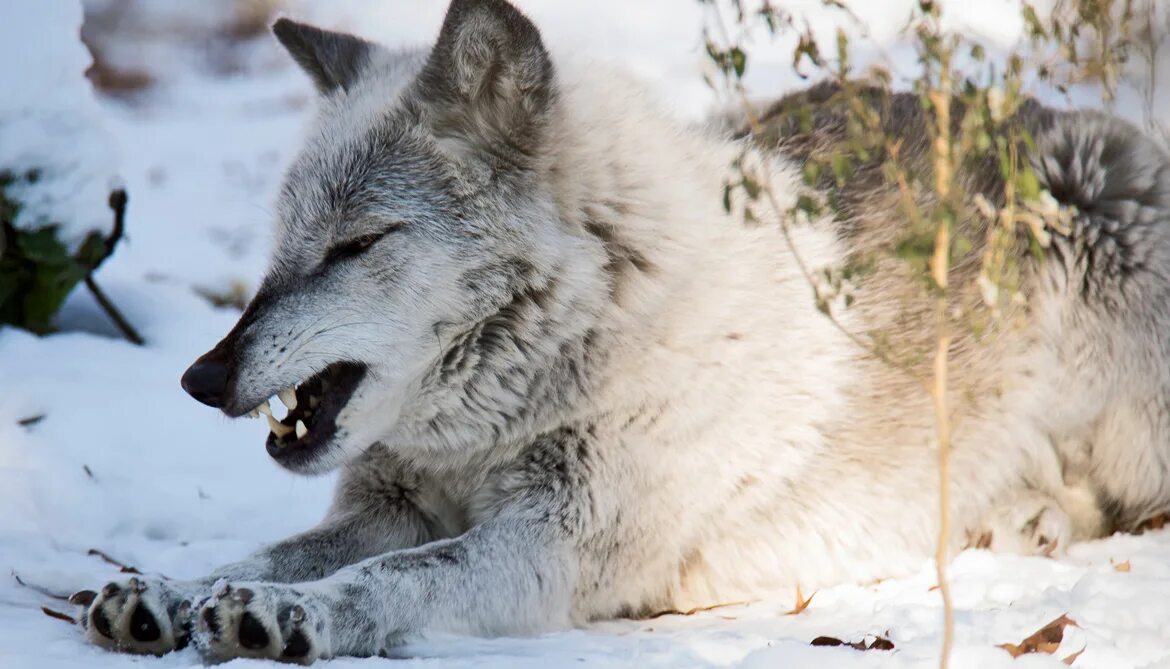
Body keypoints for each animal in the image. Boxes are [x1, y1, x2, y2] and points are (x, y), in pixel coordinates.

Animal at [68, 0, 1170, 659]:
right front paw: (167, 591)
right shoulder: (392, 507)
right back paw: (1016, 518)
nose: (202, 376)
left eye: (357, 244)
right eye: (286, 242)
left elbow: (391, 578)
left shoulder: (549, 546)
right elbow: (266, 551)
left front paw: (291, 617)